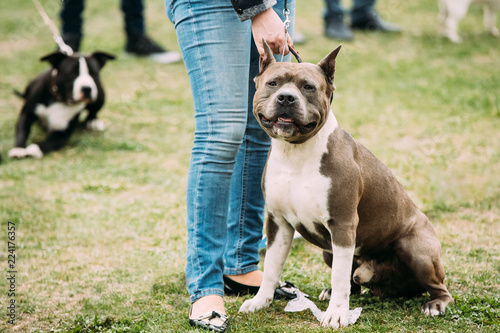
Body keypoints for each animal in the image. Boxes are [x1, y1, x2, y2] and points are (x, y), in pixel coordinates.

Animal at [238, 39, 454, 326]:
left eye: (308, 87)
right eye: (273, 83)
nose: (286, 97)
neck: (296, 153)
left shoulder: (342, 224)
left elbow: (340, 277)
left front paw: (337, 314)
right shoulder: (278, 224)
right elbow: (272, 268)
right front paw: (260, 301)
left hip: (415, 248)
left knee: (439, 287)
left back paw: (436, 304)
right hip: (329, 250)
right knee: (352, 282)